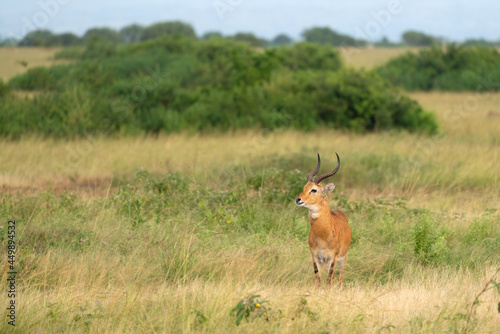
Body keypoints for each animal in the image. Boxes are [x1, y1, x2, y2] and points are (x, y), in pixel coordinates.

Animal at [296, 154, 352, 288]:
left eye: (314, 190)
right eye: (304, 188)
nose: (298, 199)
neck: (323, 234)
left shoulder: (333, 258)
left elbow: (328, 282)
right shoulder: (315, 257)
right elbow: (318, 281)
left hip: (342, 259)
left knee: (339, 279)